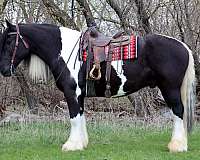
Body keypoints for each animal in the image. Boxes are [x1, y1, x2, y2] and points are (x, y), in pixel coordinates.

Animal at [0, 21, 195, 152]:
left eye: (9, 42)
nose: (3, 70)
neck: (64, 50)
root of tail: (183, 46)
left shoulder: (71, 93)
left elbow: (73, 117)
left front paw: (71, 145)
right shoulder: (79, 95)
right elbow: (80, 116)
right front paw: (81, 143)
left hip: (170, 89)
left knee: (178, 111)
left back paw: (177, 146)